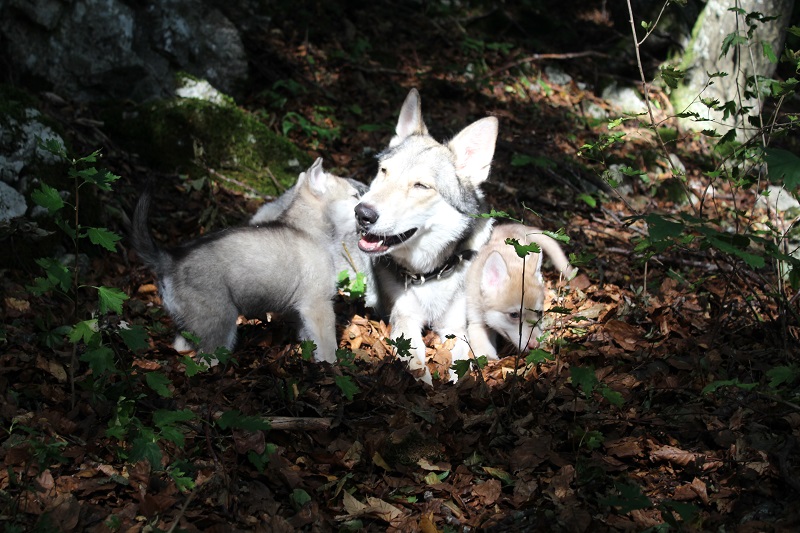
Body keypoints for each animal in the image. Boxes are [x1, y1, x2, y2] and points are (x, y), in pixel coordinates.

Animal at [132, 158, 360, 362]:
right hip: (219, 322)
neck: (309, 227)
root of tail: (169, 260)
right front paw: (331, 367)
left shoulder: (302, 307)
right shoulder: (318, 304)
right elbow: (327, 344)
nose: (365, 212)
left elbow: (308, 337)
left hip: (188, 324)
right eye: (355, 195)